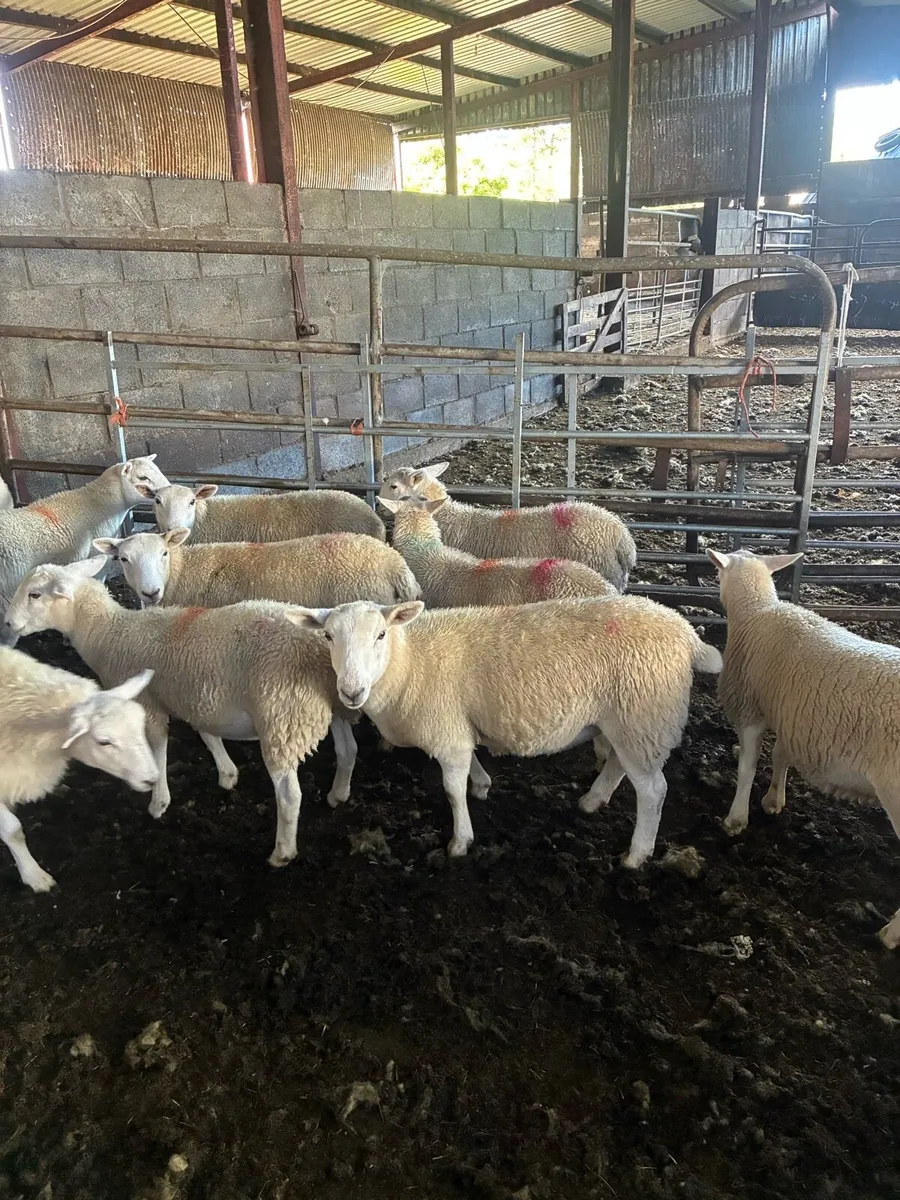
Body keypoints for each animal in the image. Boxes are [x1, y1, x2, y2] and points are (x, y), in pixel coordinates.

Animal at [5, 558, 359, 869]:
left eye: (34, 594)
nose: (8, 623)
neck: (108, 633)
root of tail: (315, 650)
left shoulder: (148, 702)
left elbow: (158, 748)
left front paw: (159, 799)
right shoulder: (197, 696)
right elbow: (208, 734)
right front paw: (227, 773)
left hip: (281, 719)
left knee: (289, 795)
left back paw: (282, 852)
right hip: (335, 706)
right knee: (348, 750)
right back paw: (338, 795)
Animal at [291, 596, 722, 868]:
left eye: (381, 634)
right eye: (327, 636)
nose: (350, 692)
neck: (410, 661)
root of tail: (686, 633)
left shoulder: (446, 732)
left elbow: (452, 790)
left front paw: (460, 841)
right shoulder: (459, 727)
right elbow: (471, 762)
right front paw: (482, 784)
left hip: (643, 717)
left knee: (653, 791)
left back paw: (636, 855)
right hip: (625, 720)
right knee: (618, 763)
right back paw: (592, 801)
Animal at [708, 547, 900, 950]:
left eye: (719, 573)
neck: (757, 610)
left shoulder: (751, 709)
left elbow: (747, 767)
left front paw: (736, 819)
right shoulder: (790, 715)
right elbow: (781, 757)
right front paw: (773, 801)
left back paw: (890, 934)